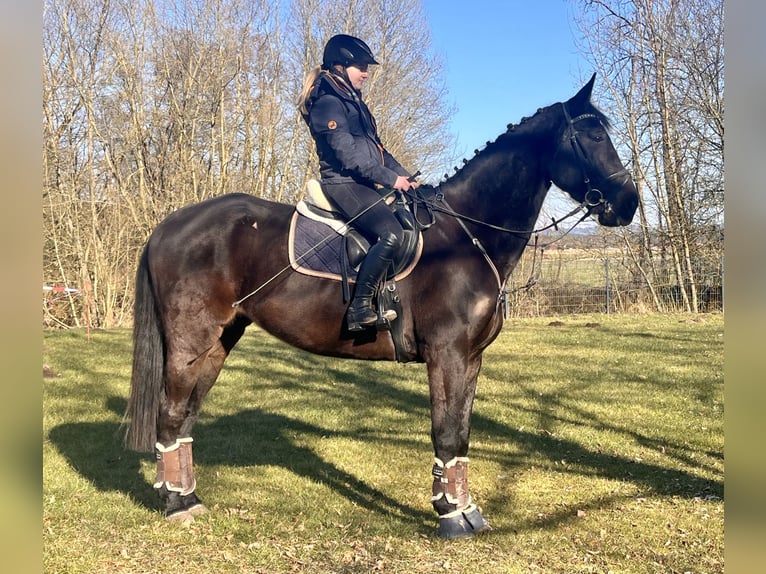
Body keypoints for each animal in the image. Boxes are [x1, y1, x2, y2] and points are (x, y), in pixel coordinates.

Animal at [126, 73, 640, 540]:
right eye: (594, 137)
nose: (629, 203)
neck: (465, 237)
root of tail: (167, 225)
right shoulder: (447, 356)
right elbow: (445, 432)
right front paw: (449, 516)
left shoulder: (471, 359)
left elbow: (462, 434)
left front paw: (467, 510)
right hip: (190, 342)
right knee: (171, 411)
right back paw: (176, 505)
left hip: (218, 341)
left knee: (186, 416)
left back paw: (188, 496)